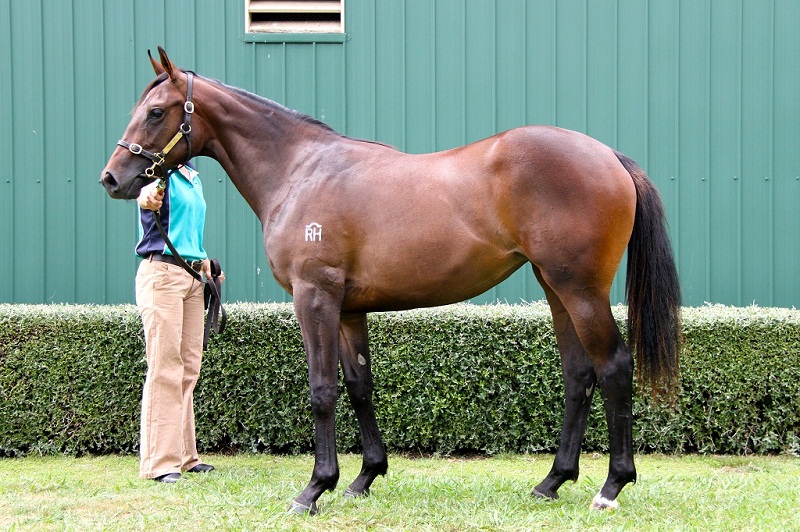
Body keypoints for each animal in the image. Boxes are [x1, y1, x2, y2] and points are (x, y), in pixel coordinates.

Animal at [101, 47, 681, 514]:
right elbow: (360, 386)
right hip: (555, 289)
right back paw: (551, 482)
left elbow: (322, 389)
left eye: (156, 112)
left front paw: (314, 489)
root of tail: (608, 156)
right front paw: (364, 478)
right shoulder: (348, 309)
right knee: (579, 375)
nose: (112, 179)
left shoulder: (315, 298)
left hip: (581, 291)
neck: (299, 170)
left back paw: (611, 487)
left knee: (613, 367)